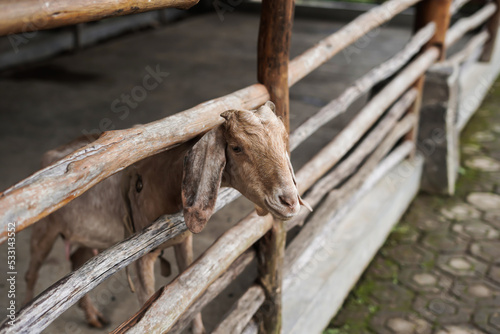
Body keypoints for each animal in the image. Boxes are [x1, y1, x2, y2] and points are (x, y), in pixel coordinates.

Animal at [26, 101, 312, 332]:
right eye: (236, 147)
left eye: (284, 138)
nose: (288, 201)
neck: (162, 180)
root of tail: (47, 157)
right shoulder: (140, 256)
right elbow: (146, 307)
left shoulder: (184, 241)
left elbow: (190, 291)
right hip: (44, 230)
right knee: (32, 274)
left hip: (86, 237)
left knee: (76, 262)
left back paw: (94, 317)